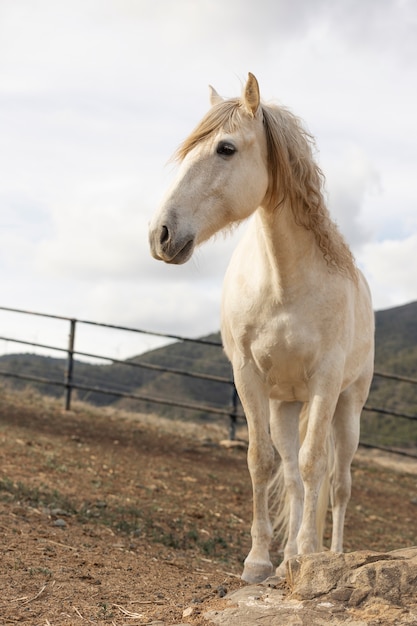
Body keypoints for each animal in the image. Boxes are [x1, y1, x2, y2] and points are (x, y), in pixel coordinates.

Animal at [147, 75, 374, 584]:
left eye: (225, 148)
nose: (160, 234)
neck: (284, 282)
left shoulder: (326, 381)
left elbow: (314, 467)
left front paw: (310, 556)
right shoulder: (248, 377)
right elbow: (262, 464)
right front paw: (258, 562)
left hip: (347, 406)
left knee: (338, 483)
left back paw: (328, 553)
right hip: (284, 405)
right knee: (291, 479)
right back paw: (286, 558)